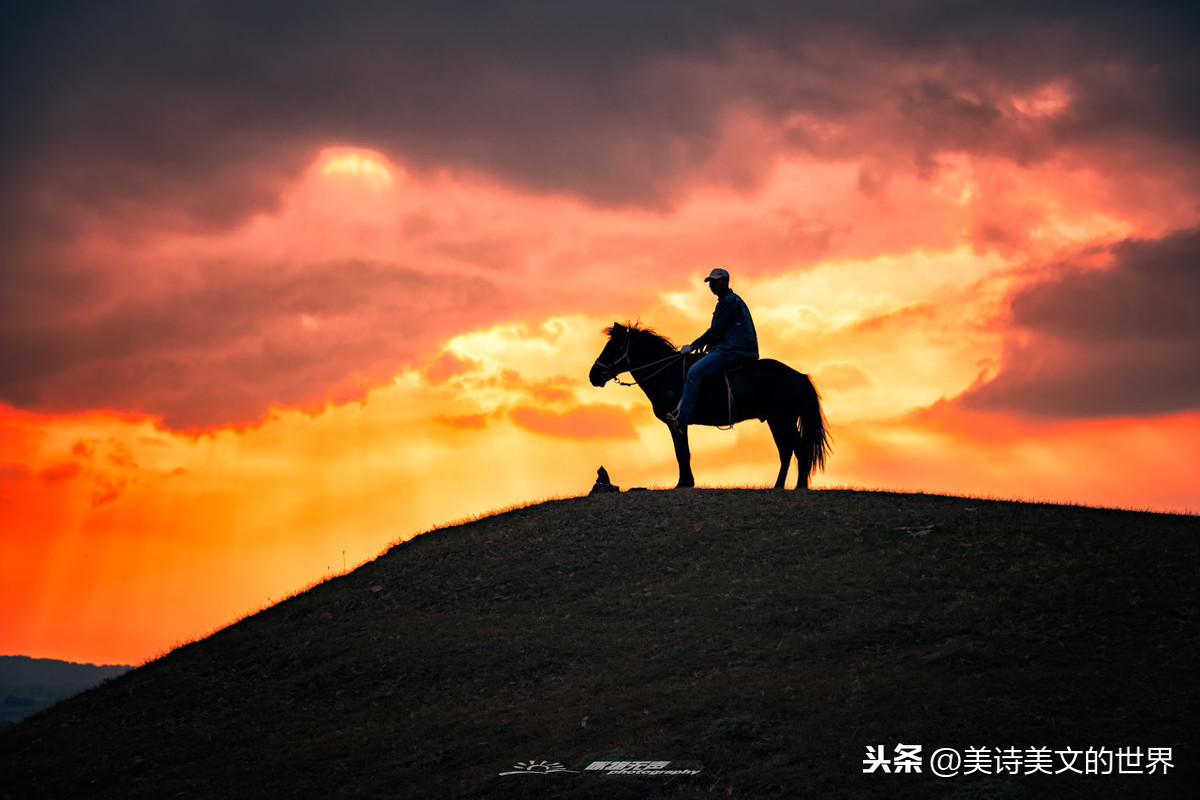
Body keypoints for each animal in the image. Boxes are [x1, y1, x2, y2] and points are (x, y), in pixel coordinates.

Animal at [588, 323, 830, 489]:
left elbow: (682, 453)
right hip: (775, 420)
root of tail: (800, 376)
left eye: (613, 346)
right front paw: (687, 482)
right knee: (786, 451)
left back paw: (799, 487)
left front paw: (683, 484)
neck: (666, 373)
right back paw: (778, 486)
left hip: (783, 419)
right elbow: (683, 453)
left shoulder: (677, 422)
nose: (593, 375)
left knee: (799, 449)